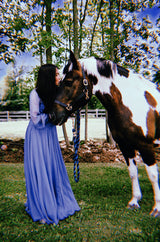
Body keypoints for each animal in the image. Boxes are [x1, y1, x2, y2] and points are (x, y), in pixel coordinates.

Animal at [52, 51, 159, 217]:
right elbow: (133, 172)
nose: (52, 115)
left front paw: (156, 209)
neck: (130, 103)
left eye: (68, 82)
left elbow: (153, 175)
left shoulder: (145, 146)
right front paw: (134, 201)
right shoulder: (125, 146)